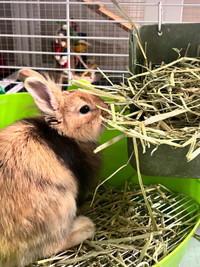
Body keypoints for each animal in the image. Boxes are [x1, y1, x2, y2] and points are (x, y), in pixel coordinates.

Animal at [0, 69, 109, 267]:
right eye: (84, 109)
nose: (107, 107)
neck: (66, 133)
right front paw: (87, 207)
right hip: (62, 206)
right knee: (52, 246)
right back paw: (86, 227)